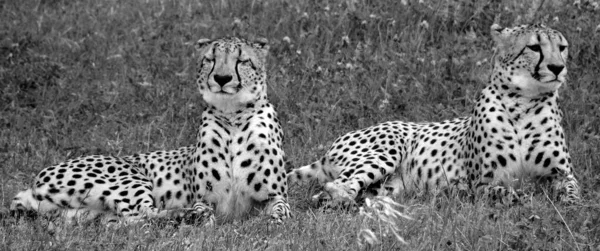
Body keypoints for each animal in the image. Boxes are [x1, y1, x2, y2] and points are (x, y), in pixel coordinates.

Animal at [9, 36, 290, 224]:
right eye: (210, 59)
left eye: (242, 60)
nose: (222, 79)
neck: (233, 116)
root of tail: (33, 183)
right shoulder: (204, 199)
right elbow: (205, 211)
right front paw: (202, 219)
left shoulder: (275, 196)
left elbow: (281, 212)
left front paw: (271, 223)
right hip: (127, 177)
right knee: (144, 214)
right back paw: (185, 215)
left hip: (90, 214)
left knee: (129, 222)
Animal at [288, 24, 580, 207]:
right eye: (534, 47)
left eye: (562, 47)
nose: (558, 67)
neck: (523, 102)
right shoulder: (480, 182)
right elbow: (499, 191)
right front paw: (517, 197)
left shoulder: (563, 175)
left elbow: (574, 193)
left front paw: (569, 206)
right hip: (385, 151)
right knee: (336, 187)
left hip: (387, 186)